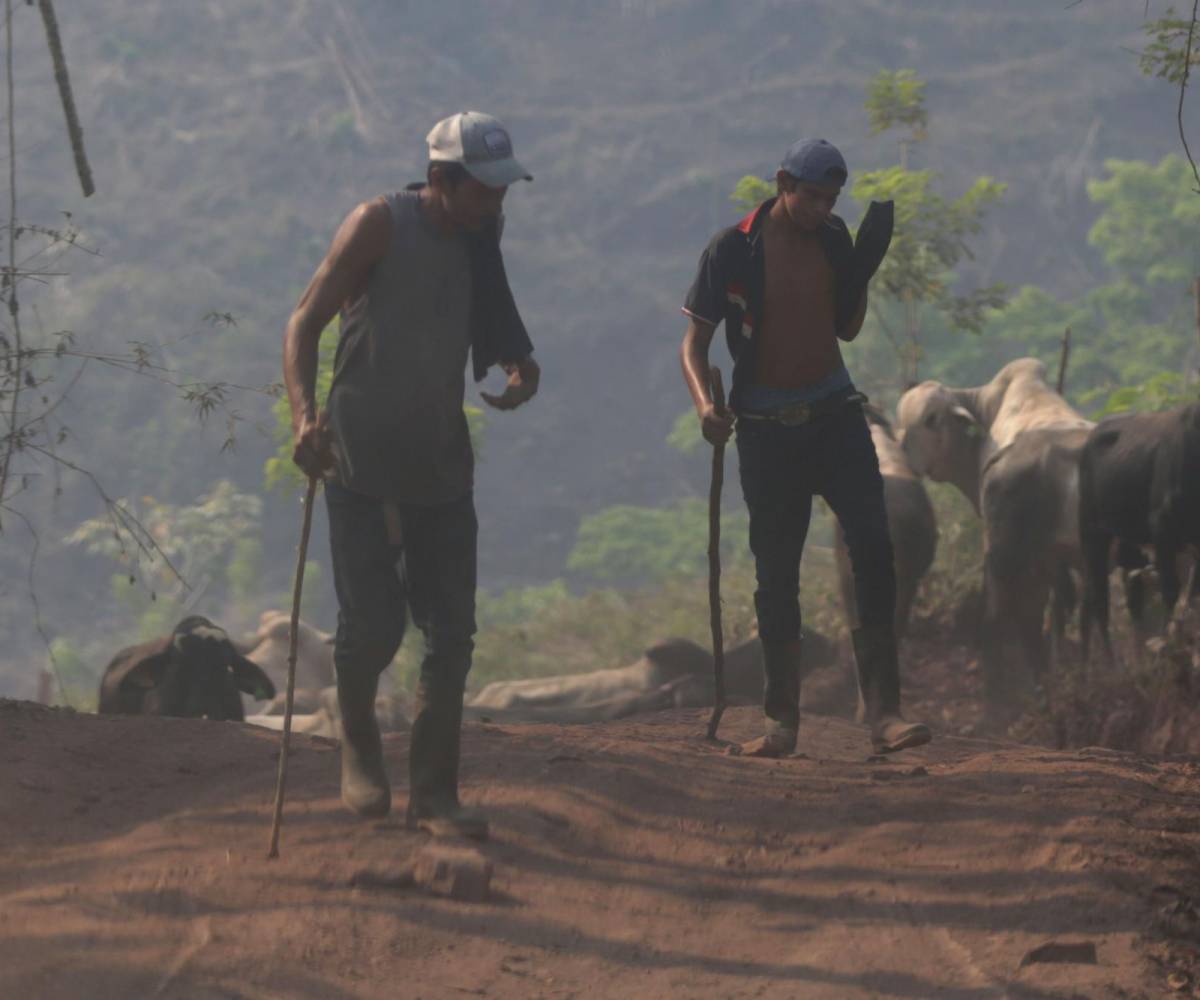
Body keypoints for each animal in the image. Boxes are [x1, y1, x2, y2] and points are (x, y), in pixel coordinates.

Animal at [1080, 400, 1200, 657]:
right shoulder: (1162, 528)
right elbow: (1171, 590)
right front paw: (1169, 648)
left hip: (1128, 544)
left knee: (1129, 600)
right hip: (1092, 533)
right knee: (1098, 600)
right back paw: (1109, 661)